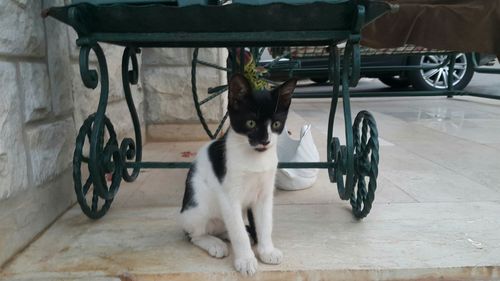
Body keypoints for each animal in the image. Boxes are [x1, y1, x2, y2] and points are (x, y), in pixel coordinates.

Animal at [180, 73, 296, 274]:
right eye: (250, 123)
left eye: (276, 124)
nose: (265, 141)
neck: (254, 158)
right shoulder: (229, 198)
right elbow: (238, 233)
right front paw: (246, 260)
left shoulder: (264, 195)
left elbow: (265, 224)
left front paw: (267, 251)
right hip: (197, 208)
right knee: (196, 235)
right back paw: (214, 244)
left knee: (227, 226)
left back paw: (227, 235)